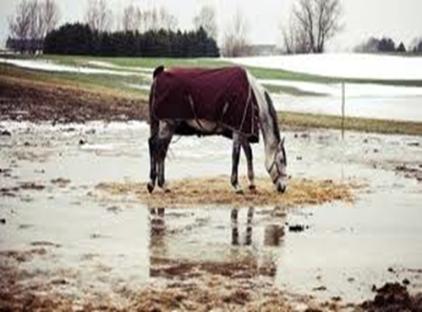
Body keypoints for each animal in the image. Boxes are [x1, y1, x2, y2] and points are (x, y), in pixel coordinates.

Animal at [146, 65, 286, 193]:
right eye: (281, 160)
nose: (283, 187)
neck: (252, 96)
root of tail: (159, 74)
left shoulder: (242, 132)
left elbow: (248, 154)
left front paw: (252, 184)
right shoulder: (237, 131)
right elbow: (236, 156)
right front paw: (236, 185)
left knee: (155, 146)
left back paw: (154, 183)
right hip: (168, 124)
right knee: (159, 149)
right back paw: (160, 184)